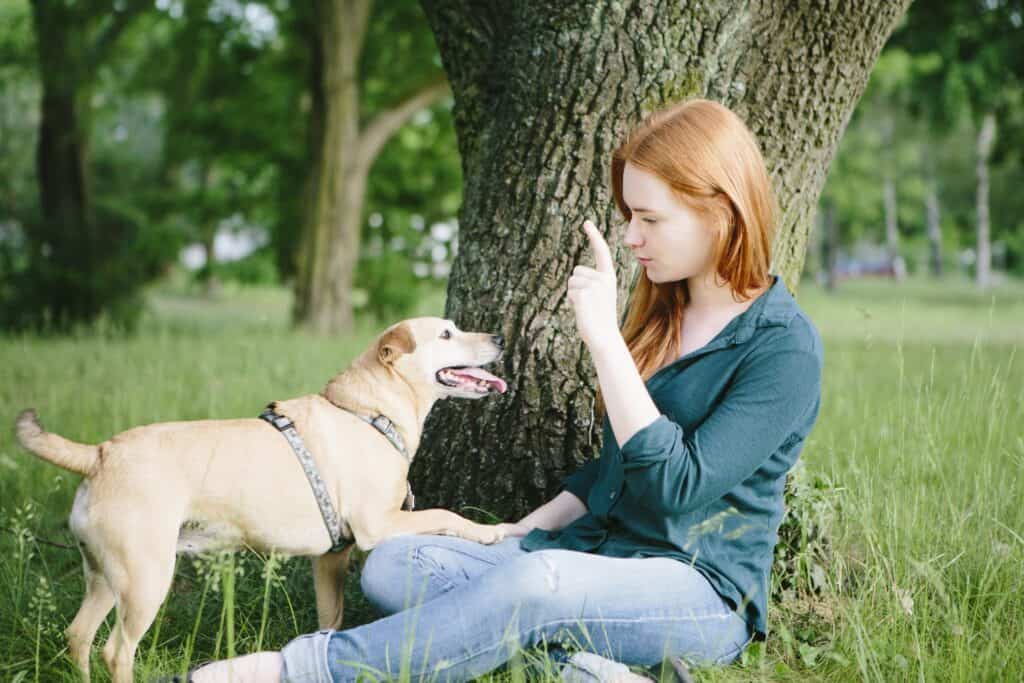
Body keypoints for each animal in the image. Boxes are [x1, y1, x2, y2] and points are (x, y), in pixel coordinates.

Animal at [14, 317, 509, 683]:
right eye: (446, 335)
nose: (500, 338)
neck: (370, 411)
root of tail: (100, 453)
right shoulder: (379, 524)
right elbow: (445, 513)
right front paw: (493, 531)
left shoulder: (331, 559)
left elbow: (330, 620)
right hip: (145, 580)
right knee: (116, 651)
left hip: (103, 575)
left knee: (78, 635)